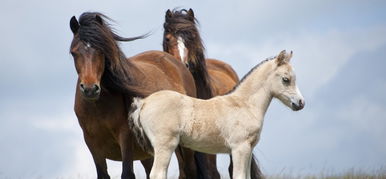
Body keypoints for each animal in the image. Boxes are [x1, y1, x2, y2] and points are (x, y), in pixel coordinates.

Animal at [70, 11, 211, 178]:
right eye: (73, 53)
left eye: (101, 51)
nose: (90, 89)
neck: (98, 108)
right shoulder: (92, 143)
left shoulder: (125, 138)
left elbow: (127, 173)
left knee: (189, 170)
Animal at [130, 50, 304, 179]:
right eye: (286, 79)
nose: (300, 103)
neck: (244, 104)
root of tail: (144, 103)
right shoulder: (240, 148)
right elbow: (239, 176)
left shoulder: (248, 149)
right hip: (165, 146)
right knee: (157, 174)